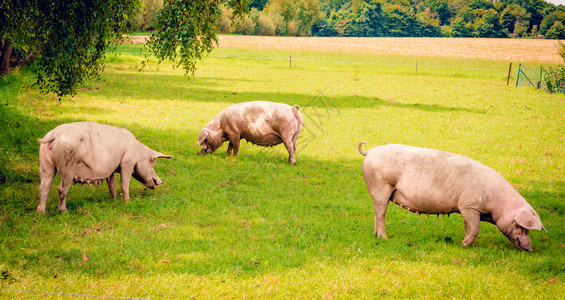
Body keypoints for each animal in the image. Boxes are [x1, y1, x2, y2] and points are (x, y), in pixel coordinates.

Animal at [37, 122, 172, 213]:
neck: (138, 152)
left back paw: (41, 213)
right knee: (61, 190)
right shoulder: (127, 162)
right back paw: (64, 212)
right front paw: (127, 202)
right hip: (67, 166)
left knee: (44, 187)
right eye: (153, 162)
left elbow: (112, 184)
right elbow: (124, 184)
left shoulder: (110, 169)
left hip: (45, 163)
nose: (159, 181)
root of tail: (54, 135)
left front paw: (113, 200)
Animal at [356, 142, 548, 251]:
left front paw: (465, 244)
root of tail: (370, 152)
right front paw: (464, 245)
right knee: (381, 212)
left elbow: (468, 226)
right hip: (381, 186)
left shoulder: (467, 209)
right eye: (522, 226)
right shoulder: (469, 205)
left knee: (377, 212)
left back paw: (376, 236)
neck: (496, 203)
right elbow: (475, 228)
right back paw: (384, 237)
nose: (530, 249)